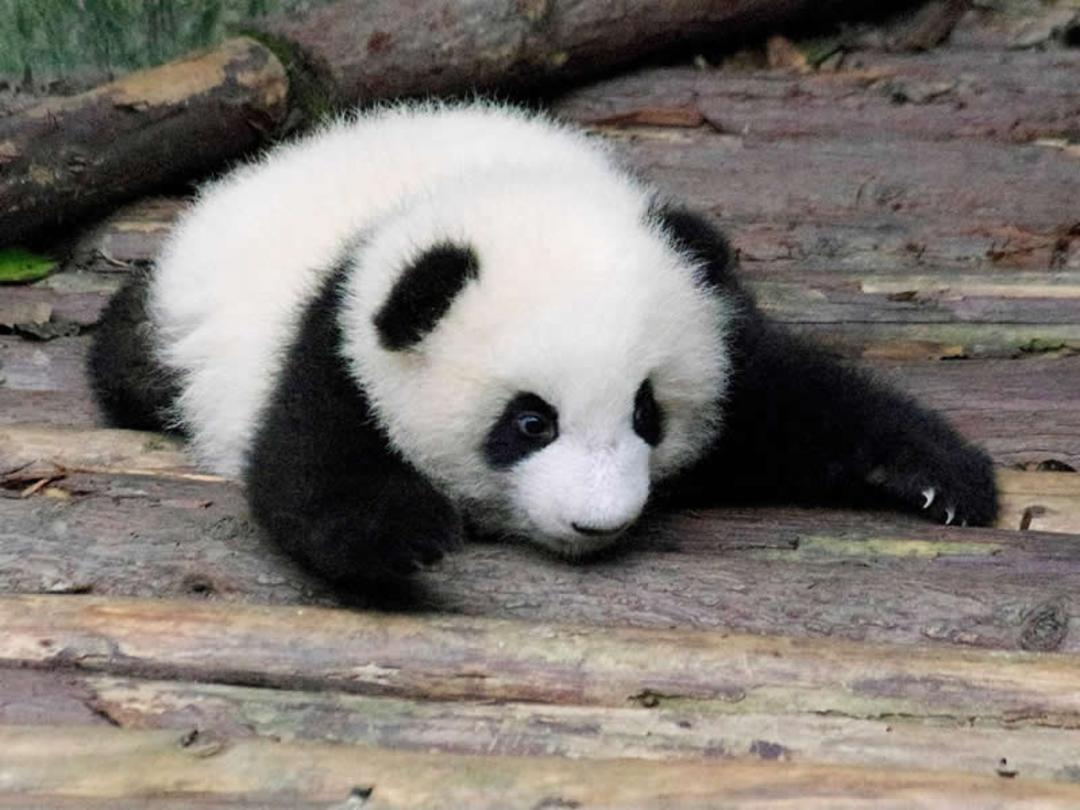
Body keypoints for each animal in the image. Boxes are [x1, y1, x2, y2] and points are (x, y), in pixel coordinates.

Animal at [89, 101, 999, 587]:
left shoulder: (717, 322)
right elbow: (310, 468)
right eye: (531, 423)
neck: (493, 192)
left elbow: (800, 401)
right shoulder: (338, 334)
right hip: (172, 322)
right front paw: (404, 537)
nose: (599, 523)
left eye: (648, 414)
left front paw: (939, 479)